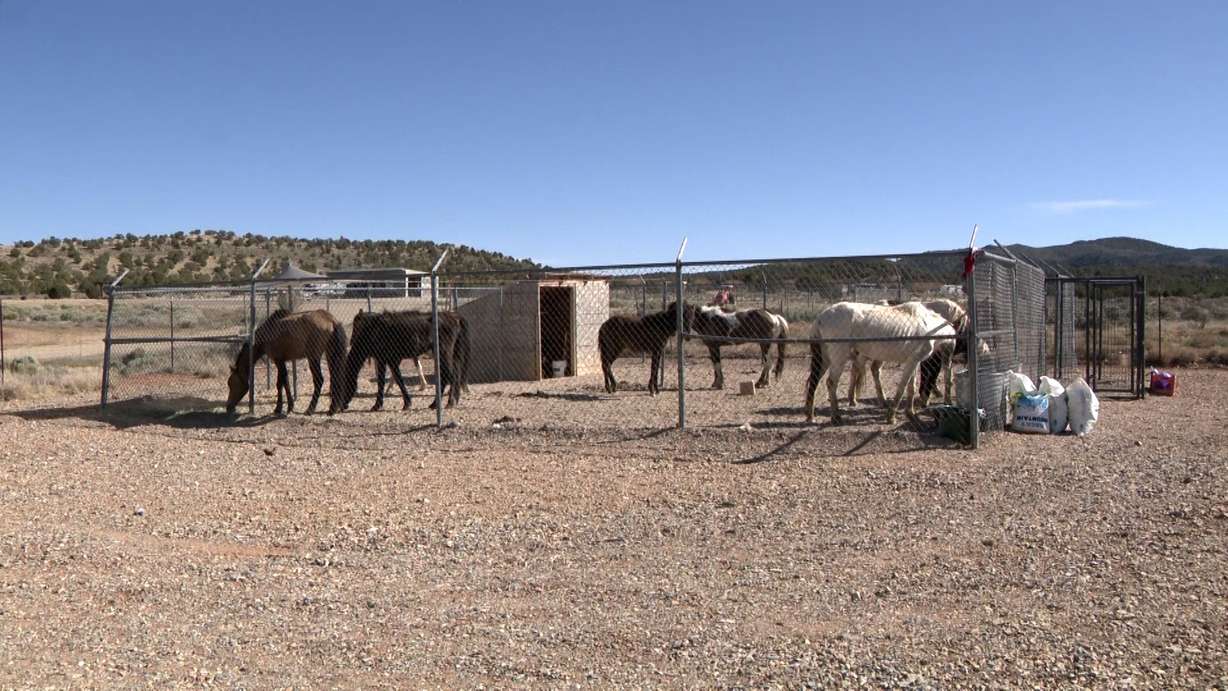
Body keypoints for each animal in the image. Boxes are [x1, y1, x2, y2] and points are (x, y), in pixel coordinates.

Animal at [338, 309, 470, 411]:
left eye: (344, 384)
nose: (342, 406)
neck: (373, 332)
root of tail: (455, 317)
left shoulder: (386, 360)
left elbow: (391, 381)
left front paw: (381, 405)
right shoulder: (387, 360)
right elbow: (391, 380)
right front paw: (400, 403)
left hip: (443, 353)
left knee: (448, 375)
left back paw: (447, 403)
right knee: (452, 375)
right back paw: (441, 403)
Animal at [804, 301, 956, 425]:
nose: (949, 363)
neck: (929, 325)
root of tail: (820, 318)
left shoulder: (913, 361)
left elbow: (911, 387)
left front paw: (910, 413)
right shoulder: (912, 362)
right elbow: (902, 387)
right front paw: (891, 416)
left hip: (824, 359)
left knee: (814, 381)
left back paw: (810, 415)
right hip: (838, 357)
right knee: (831, 383)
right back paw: (836, 417)